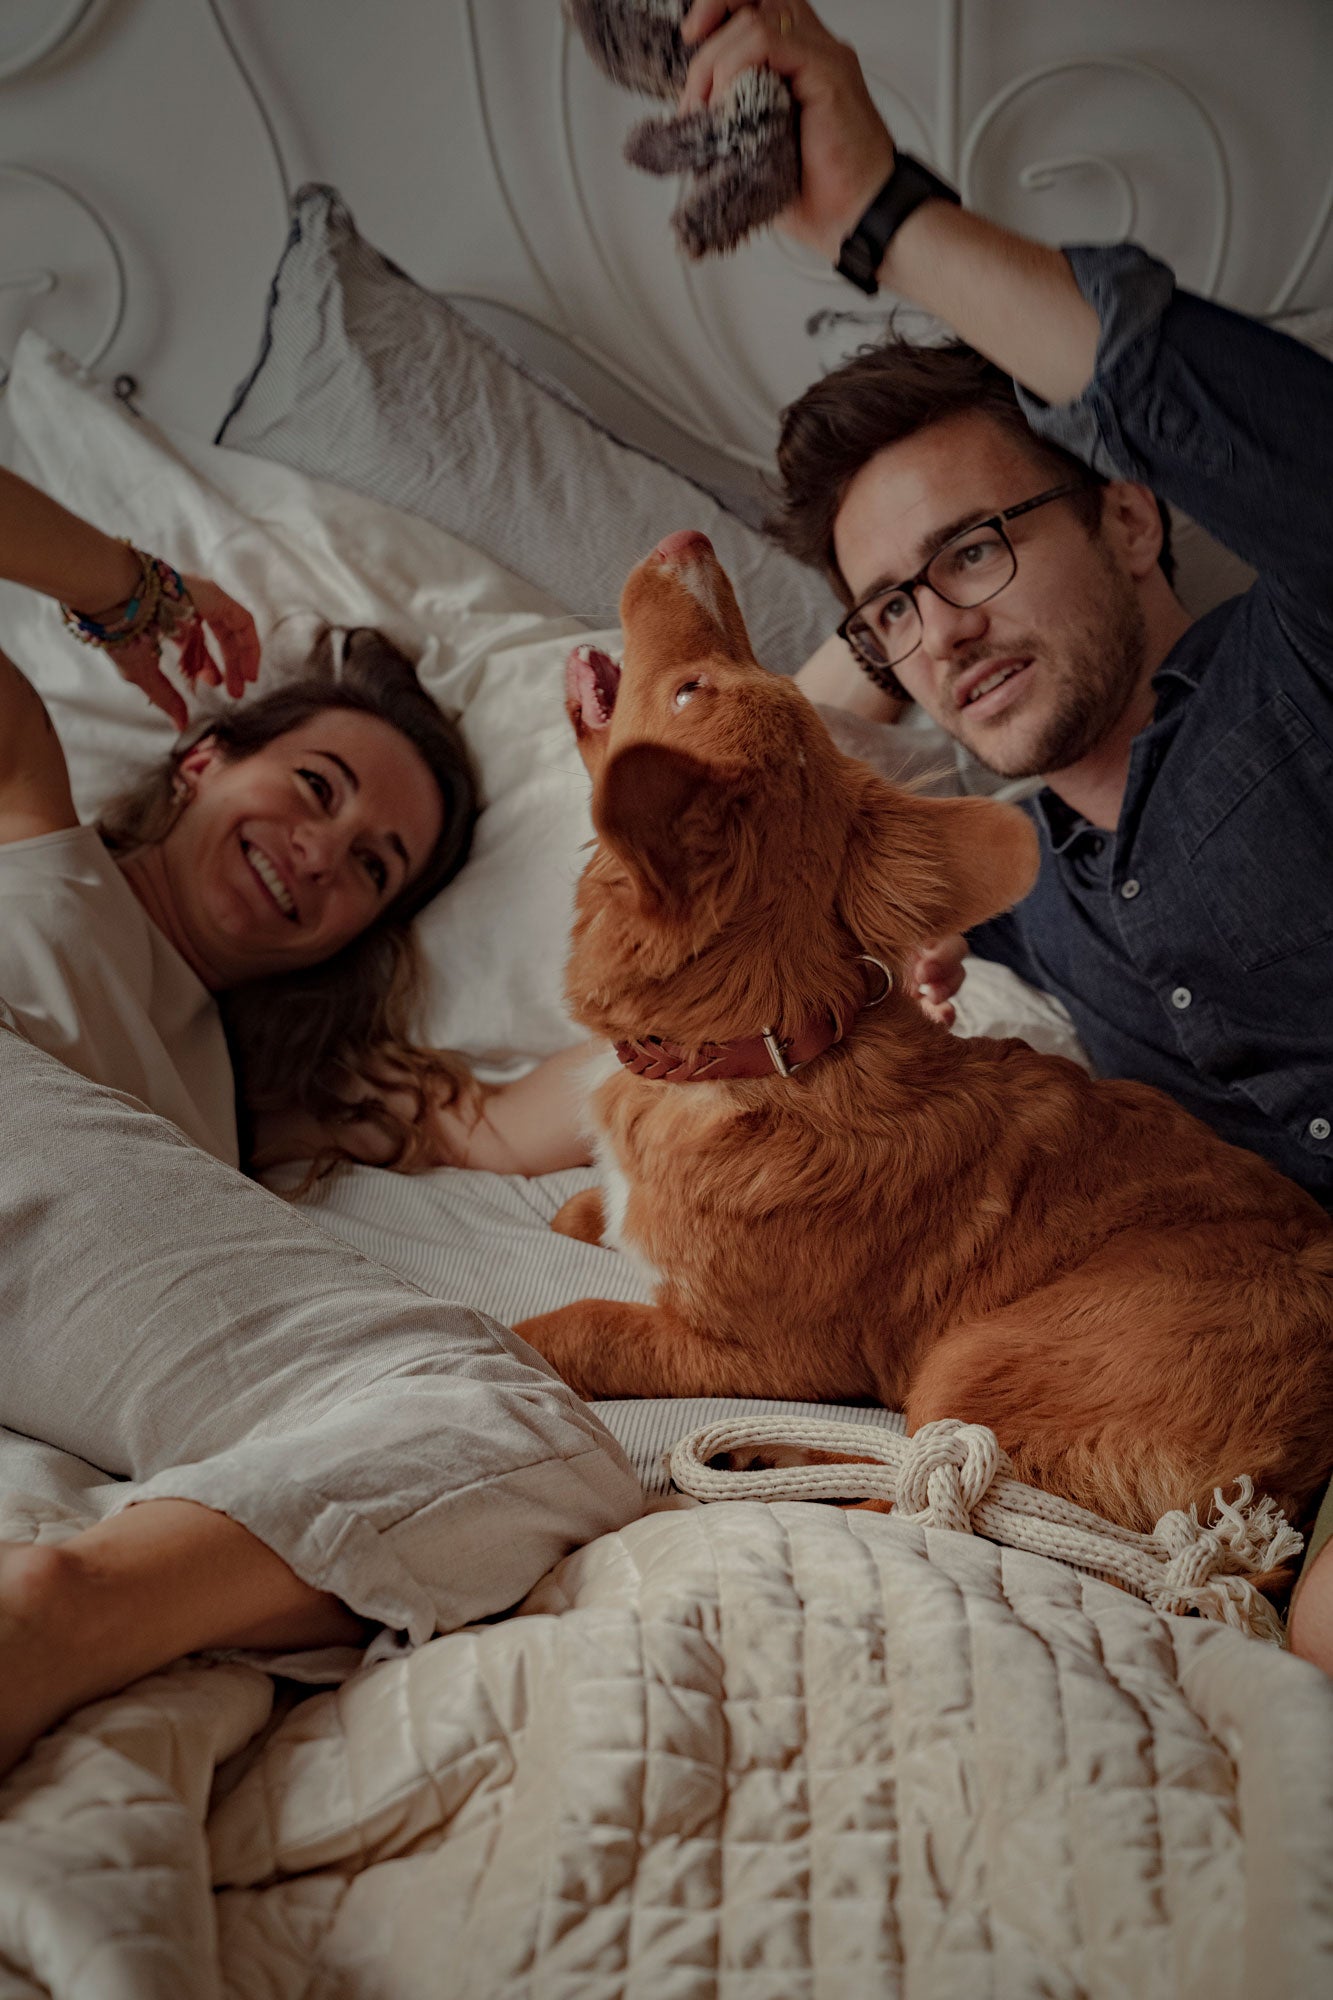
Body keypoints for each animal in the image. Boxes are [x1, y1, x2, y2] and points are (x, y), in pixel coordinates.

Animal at [510, 528, 1328, 1528]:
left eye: (687, 691)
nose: (688, 541)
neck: (763, 1056)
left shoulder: (763, 1355)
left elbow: (586, 1323)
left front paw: (521, 1338)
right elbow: (592, 1210)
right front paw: (593, 1212)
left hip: (975, 1358)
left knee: (922, 1498)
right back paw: (758, 1456)